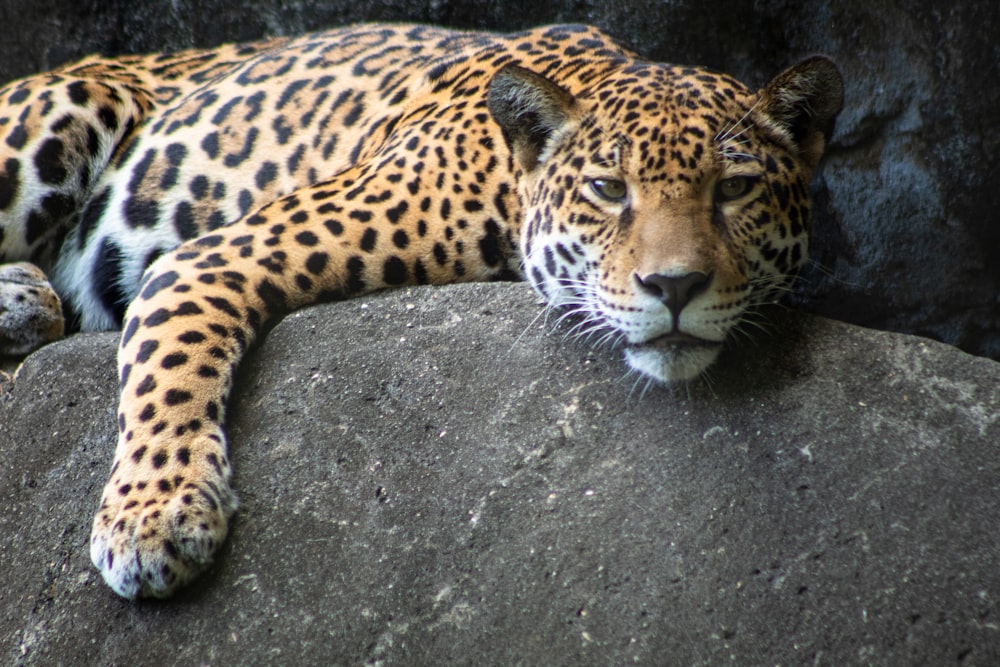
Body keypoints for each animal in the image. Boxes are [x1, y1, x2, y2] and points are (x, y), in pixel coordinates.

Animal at [0, 24, 844, 600]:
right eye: (609, 190)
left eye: (735, 190)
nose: (675, 286)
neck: (509, 178)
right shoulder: (214, 255)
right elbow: (172, 363)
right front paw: (154, 516)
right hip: (65, 111)